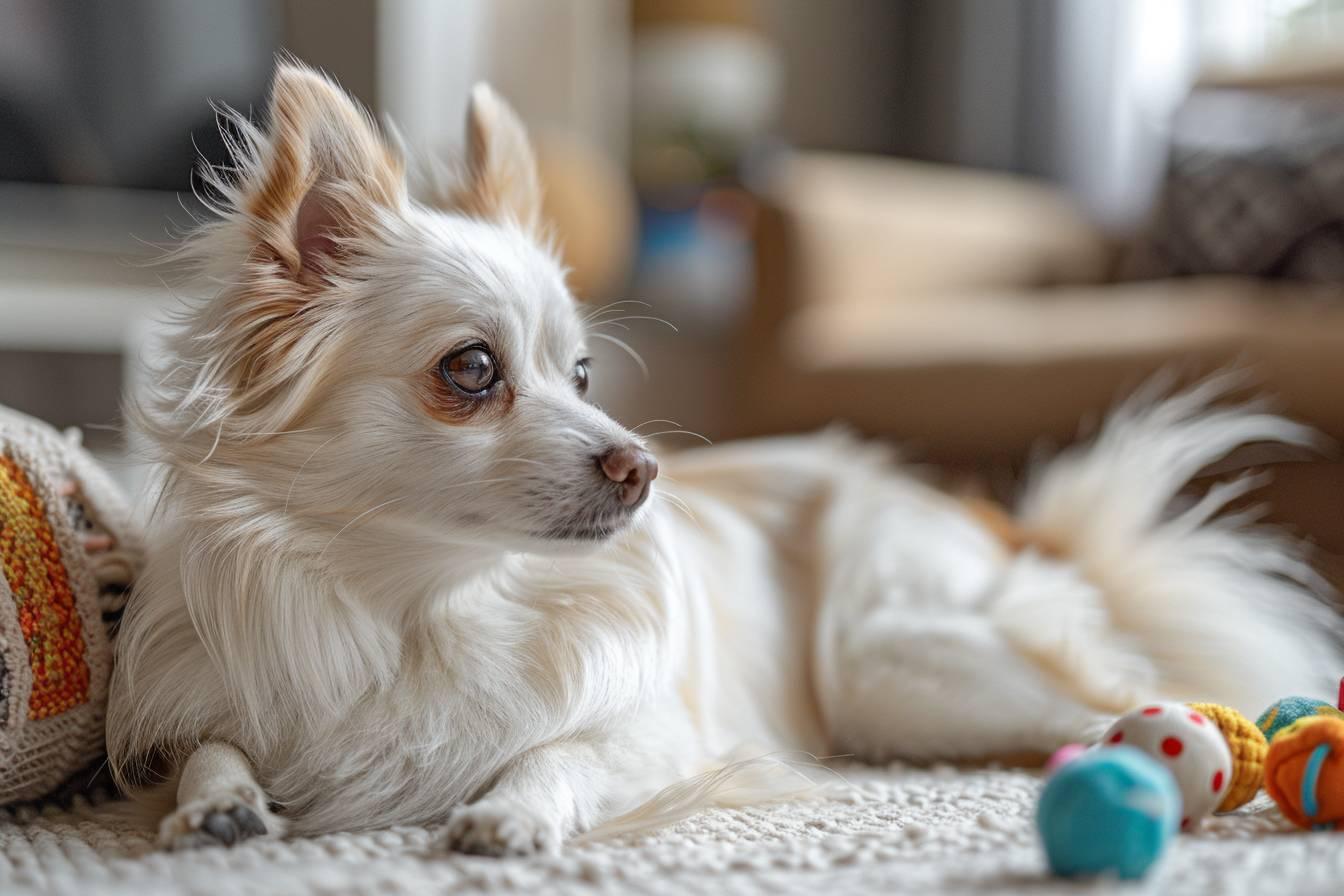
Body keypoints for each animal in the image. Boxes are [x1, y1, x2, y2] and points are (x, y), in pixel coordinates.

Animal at [107, 64, 1344, 854]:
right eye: (472, 370)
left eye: (583, 373)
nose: (640, 466)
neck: (424, 603)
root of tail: (1001, 515)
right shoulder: (196, 708)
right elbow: (207, 747)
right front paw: (218, 801)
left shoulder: (660, 732)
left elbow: (562, 752)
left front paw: (514, 806)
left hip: (891, 658)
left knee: (1131, 686)